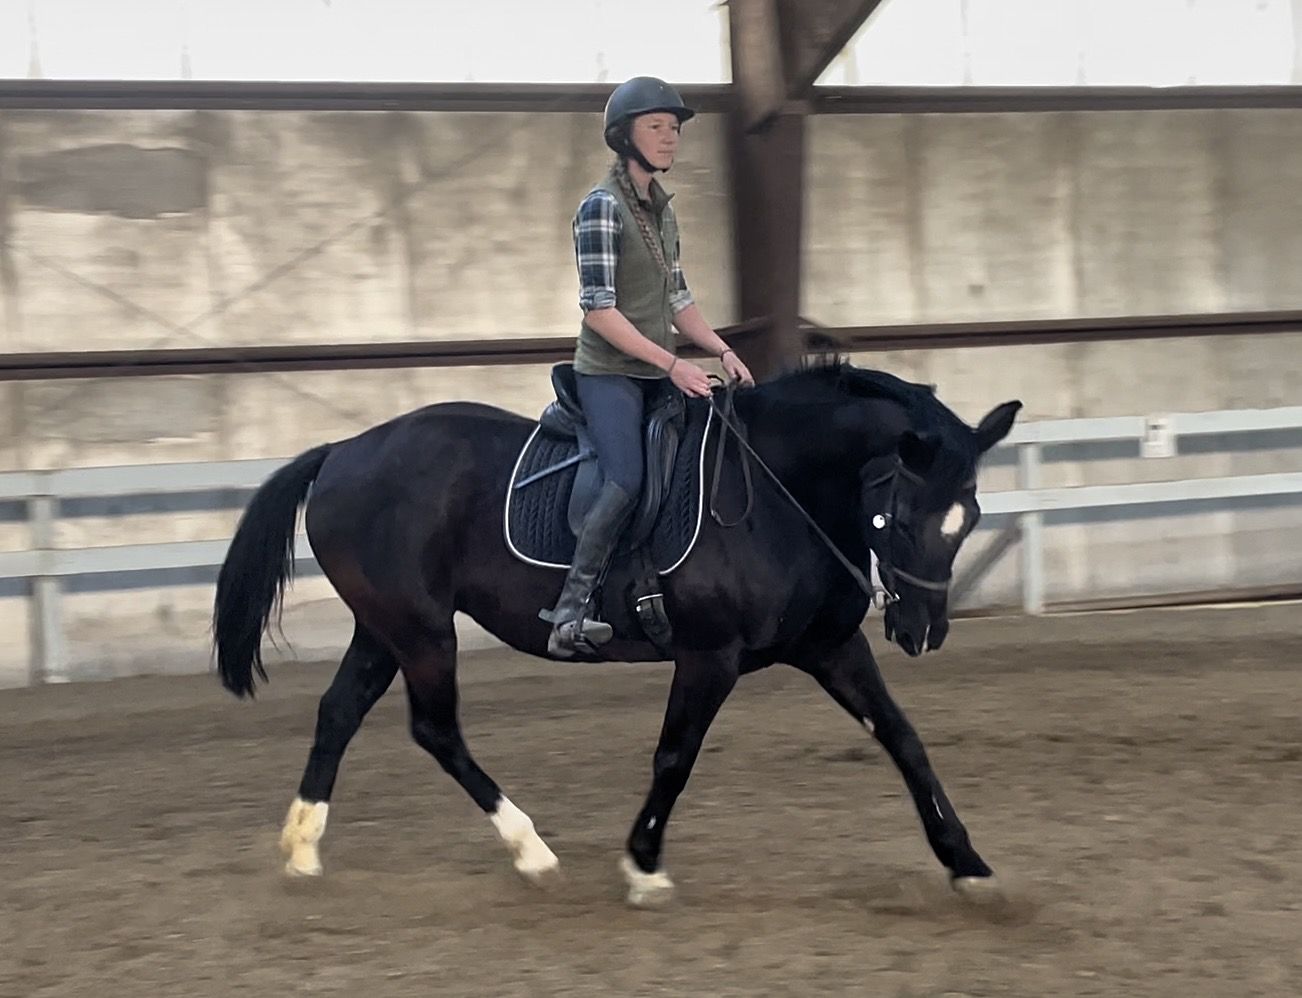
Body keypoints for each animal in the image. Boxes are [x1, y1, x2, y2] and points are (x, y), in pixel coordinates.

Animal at [212, 358, 1021, 907]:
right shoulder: (708, 656)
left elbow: (904, 739)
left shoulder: (829, 648)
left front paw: (968, 864)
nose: (922, 630)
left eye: (970, 516)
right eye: (898, 518)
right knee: (434, 730)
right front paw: (644, 865)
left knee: (339, 713)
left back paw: (303, 851)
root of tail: (342, 451)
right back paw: (531, 851)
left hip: (384, 630)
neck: (779, 493)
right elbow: (675, 757)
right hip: (422, 634)